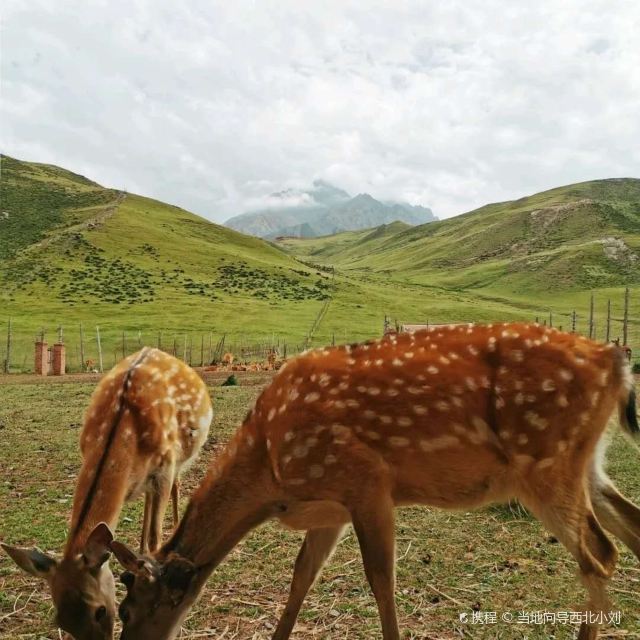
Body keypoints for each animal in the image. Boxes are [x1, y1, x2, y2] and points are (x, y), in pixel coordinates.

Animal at [1, 348, 214, 640]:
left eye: (100, 610)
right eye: (60, 622)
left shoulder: (165, 467)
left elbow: (156, 536)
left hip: (182, 456)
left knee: (177, 486)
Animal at [110, 324, 640, 640]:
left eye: (127, 610)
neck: (271, 474)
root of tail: (614, 361)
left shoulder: (367, 482)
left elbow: (381, 578)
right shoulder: (330, 508)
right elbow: (302, 576)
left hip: (546, 462)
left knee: (599, 553)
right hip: (585, 463)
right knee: (629, 527)